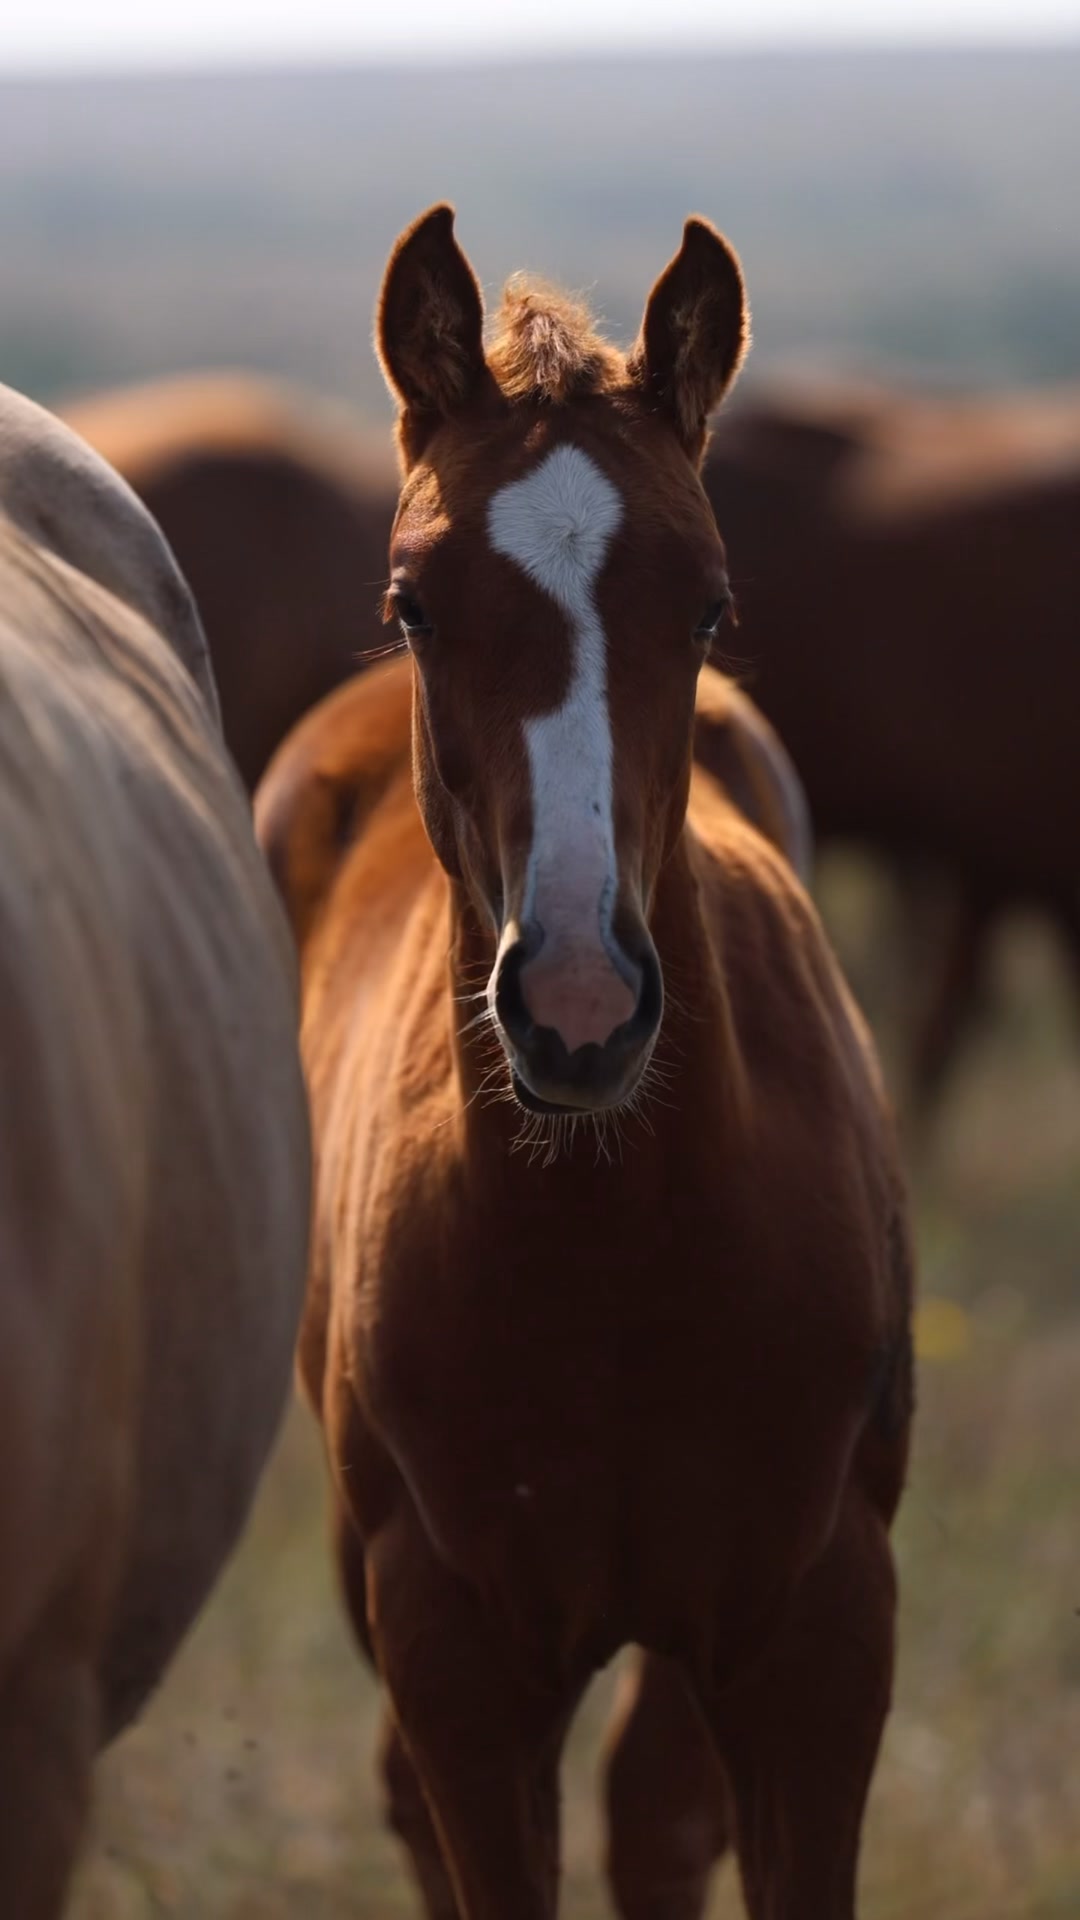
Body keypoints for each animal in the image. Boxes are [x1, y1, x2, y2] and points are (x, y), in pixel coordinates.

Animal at [257, 206, 914, 1920]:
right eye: (415, 602)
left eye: (708, 604)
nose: (576, 1003)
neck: (620, 1248)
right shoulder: (458, 1653)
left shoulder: (818, 1631)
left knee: (652, 1816)